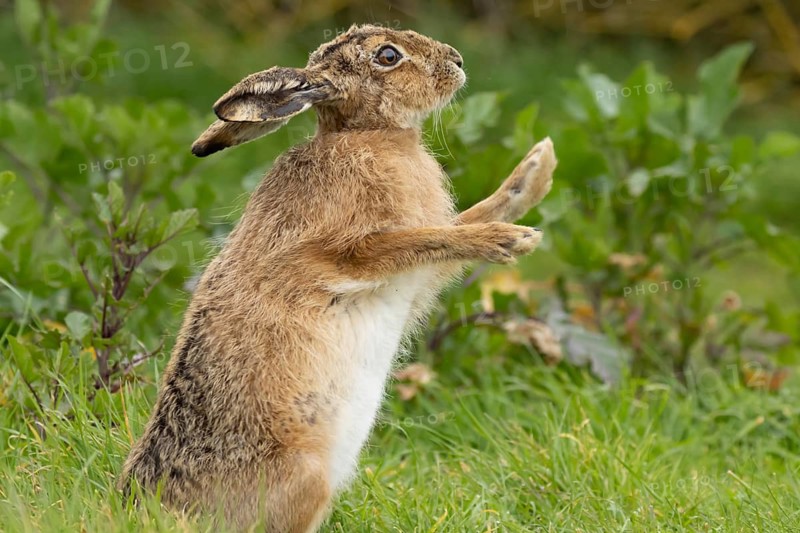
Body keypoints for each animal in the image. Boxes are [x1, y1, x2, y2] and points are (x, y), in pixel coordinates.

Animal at [119, 23, 557, 533]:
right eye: (387, 56)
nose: (457, 59)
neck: (368, 135)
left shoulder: (417, 278)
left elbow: (460, 224)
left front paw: (537, 170)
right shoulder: (345, 253)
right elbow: (429, 238)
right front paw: (510, 240)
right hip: (307, 478)